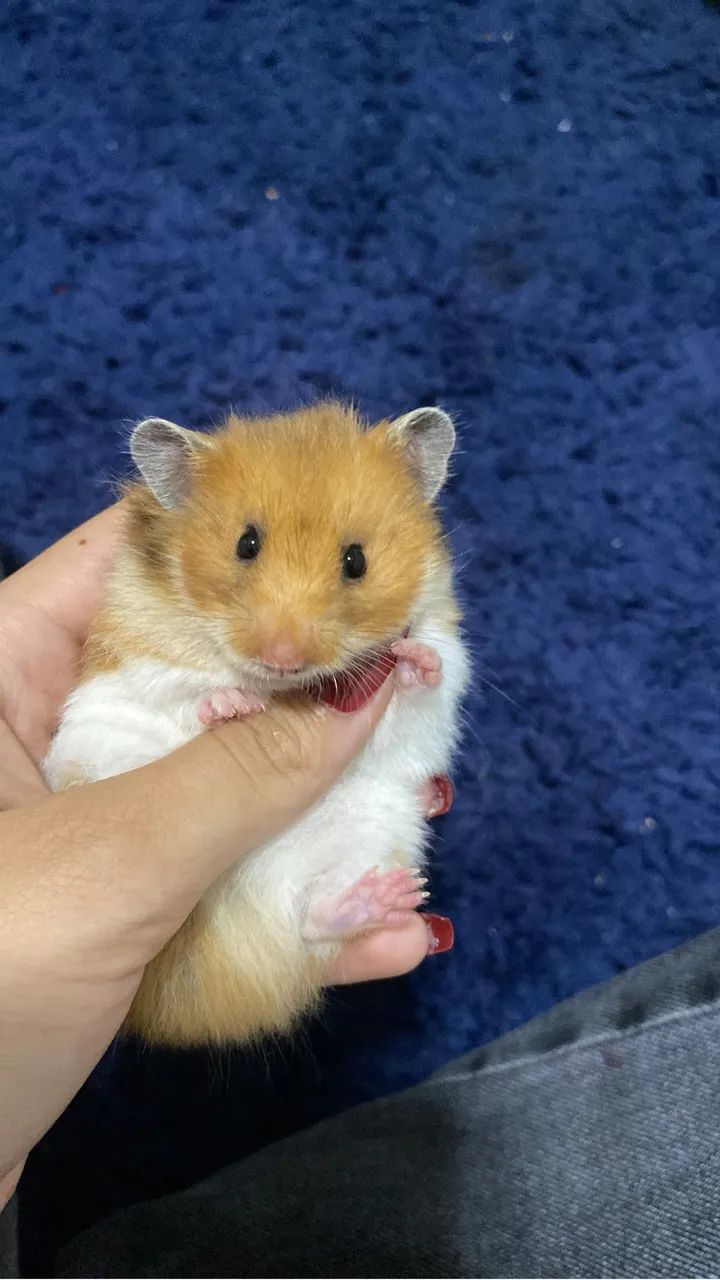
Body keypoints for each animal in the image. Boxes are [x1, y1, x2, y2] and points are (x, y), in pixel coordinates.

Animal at [43, 402, 470, 1046]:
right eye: (246, 544)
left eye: (356, 560)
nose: (283, 655)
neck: (281, 686)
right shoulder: (131, 658)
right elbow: (180, 690)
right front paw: (232, 706)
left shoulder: (433, 678)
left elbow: (427, 686)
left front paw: (412, 659)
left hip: (372, 830)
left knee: (313, 924)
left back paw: (387, 897)